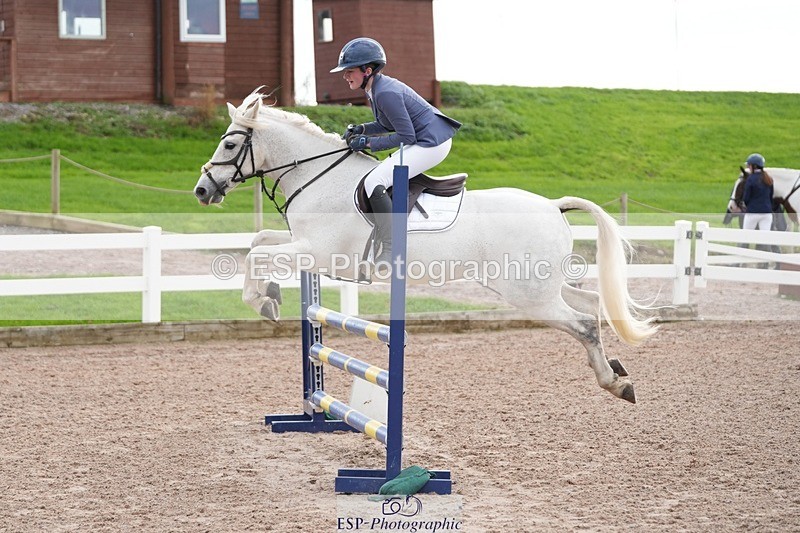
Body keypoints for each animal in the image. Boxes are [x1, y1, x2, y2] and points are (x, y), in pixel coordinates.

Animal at [193, 89, 659, 403]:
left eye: (230, 144)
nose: (201, 190)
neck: (319, 177)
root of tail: (552, 205)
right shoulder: (302, 245)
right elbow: (259, 242)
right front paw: (271, 293)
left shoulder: (321, 253)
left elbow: (257, 255)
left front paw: (263, 301)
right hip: (538, 284)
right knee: (591, 303)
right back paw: (617, 372)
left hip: (529, 295)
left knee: (582, 323)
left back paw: (615, 383)